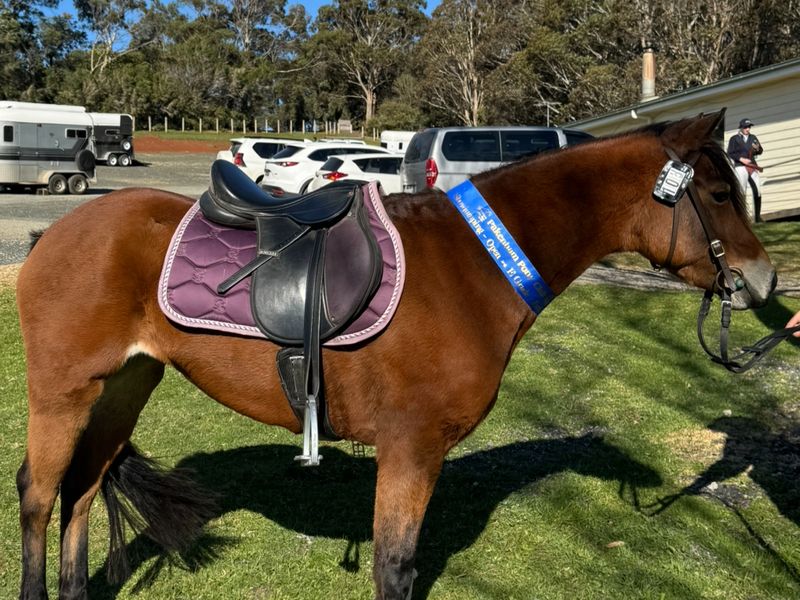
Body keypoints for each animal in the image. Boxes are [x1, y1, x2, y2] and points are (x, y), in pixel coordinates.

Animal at [14, 110, 776, 600]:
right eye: (718, 193)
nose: (765, 280)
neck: (475, 264)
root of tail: (56, 233)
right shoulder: (413, 447)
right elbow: (395, 568)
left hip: (124, 384)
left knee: (81, 491)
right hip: (62, 392)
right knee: (39, 496)